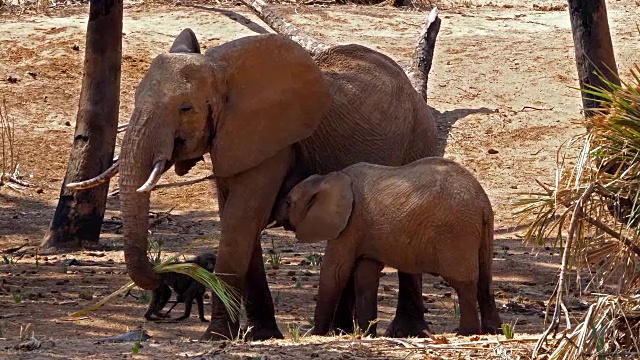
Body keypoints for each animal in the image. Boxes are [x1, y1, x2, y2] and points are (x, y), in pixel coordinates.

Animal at [70, 23, 440, 338]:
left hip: (419, 138)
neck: (220, 68)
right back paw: (343, 331)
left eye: (186, 108)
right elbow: (236, 221)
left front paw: (216, 337)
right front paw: (259, 336)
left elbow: (241, 220)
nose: (164, 277)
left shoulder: (273, 139)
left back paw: (404, 332)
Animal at [278, 158, 502, 334]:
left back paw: (466, 333)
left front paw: (315, 333)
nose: (280, 218)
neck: (327, 179)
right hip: (480, 231)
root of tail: (483, 204)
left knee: (463, 282)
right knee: (485, 281)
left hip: (456, 232)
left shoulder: (350, 223)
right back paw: (493, 331)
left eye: (288, 202)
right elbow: (365, 275)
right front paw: (367, 333)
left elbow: (335, 272)